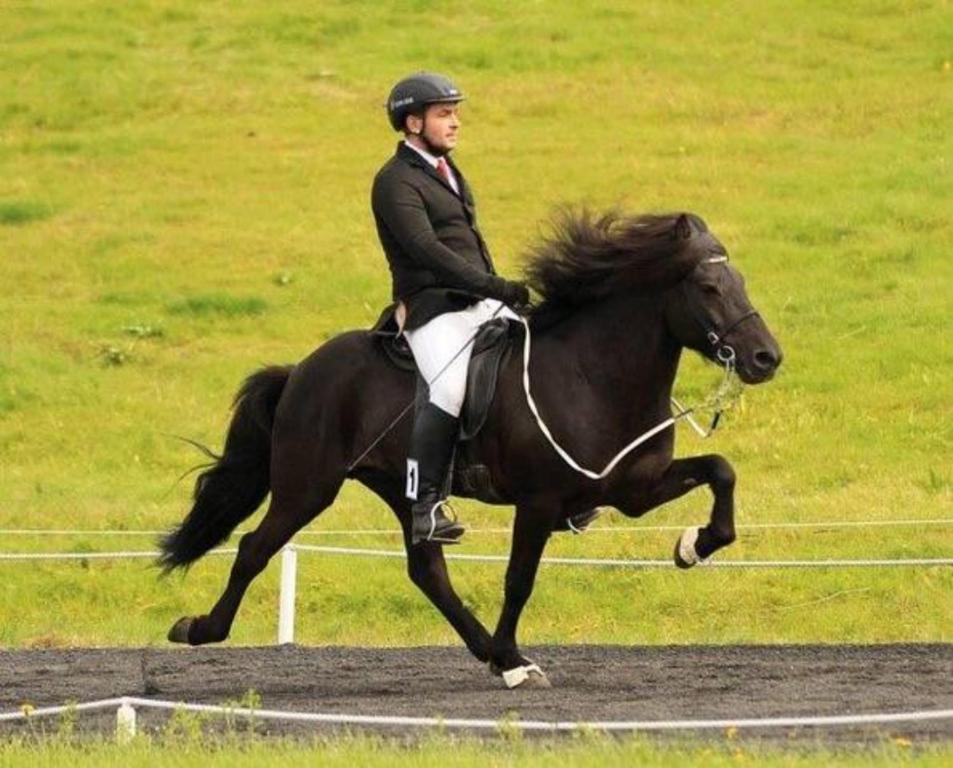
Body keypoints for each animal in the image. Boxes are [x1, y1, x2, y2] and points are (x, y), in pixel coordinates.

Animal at [158, 212, 780, 688]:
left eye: (742, 281)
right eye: (708, 289)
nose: (766, 358)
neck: (593, 375)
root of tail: (302, 371)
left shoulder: (633, 489)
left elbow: (722, 472)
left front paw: (693, 546)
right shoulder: (539, 501)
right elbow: (519, 579)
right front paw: (513, 657)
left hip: (400, 487)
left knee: (426, 569)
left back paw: (488, 653)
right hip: (307, 487)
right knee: (253, 548)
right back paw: (198, 628)